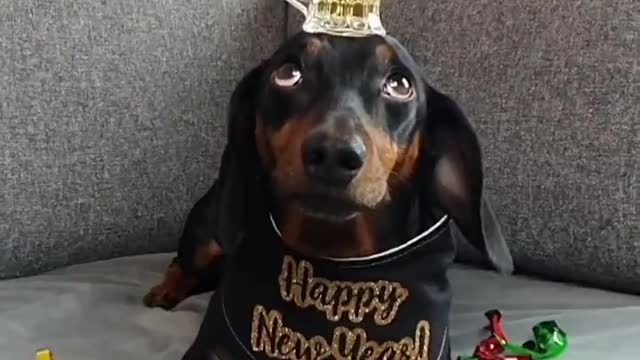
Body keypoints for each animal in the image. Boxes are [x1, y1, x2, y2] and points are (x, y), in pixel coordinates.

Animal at [144, 31, 510, 360]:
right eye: (288, 73)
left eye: (400, 84)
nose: (334, 154)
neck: (337, 260)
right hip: (207, 234)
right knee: (183, 262)